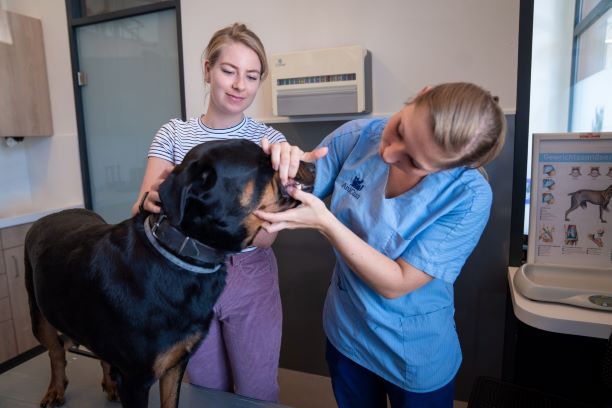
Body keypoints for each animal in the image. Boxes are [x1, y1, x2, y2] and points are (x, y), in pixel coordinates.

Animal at [23, 139, 314, 406]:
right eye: (266, 162)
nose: (310, 163)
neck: (183, 251)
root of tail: (50, 215)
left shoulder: (175, 364)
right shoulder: (135, 379)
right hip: (39, 314)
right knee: (56, 353)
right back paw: (55, 389)